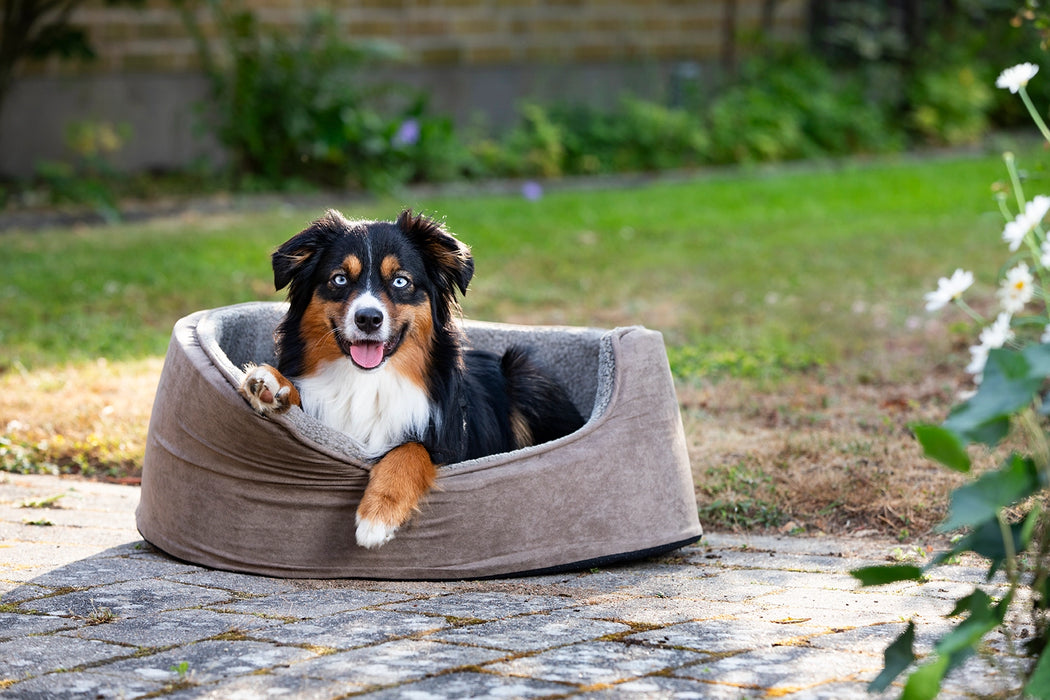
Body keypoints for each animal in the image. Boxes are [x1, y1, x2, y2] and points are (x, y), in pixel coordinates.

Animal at [239, 210, 588, 549]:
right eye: (339, 279)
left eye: (400, 281)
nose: (368, 319)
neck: (367, 381)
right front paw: (270, 384)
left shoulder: (446, 440)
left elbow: (411, 449)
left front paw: (378, 516)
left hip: (525, 375)